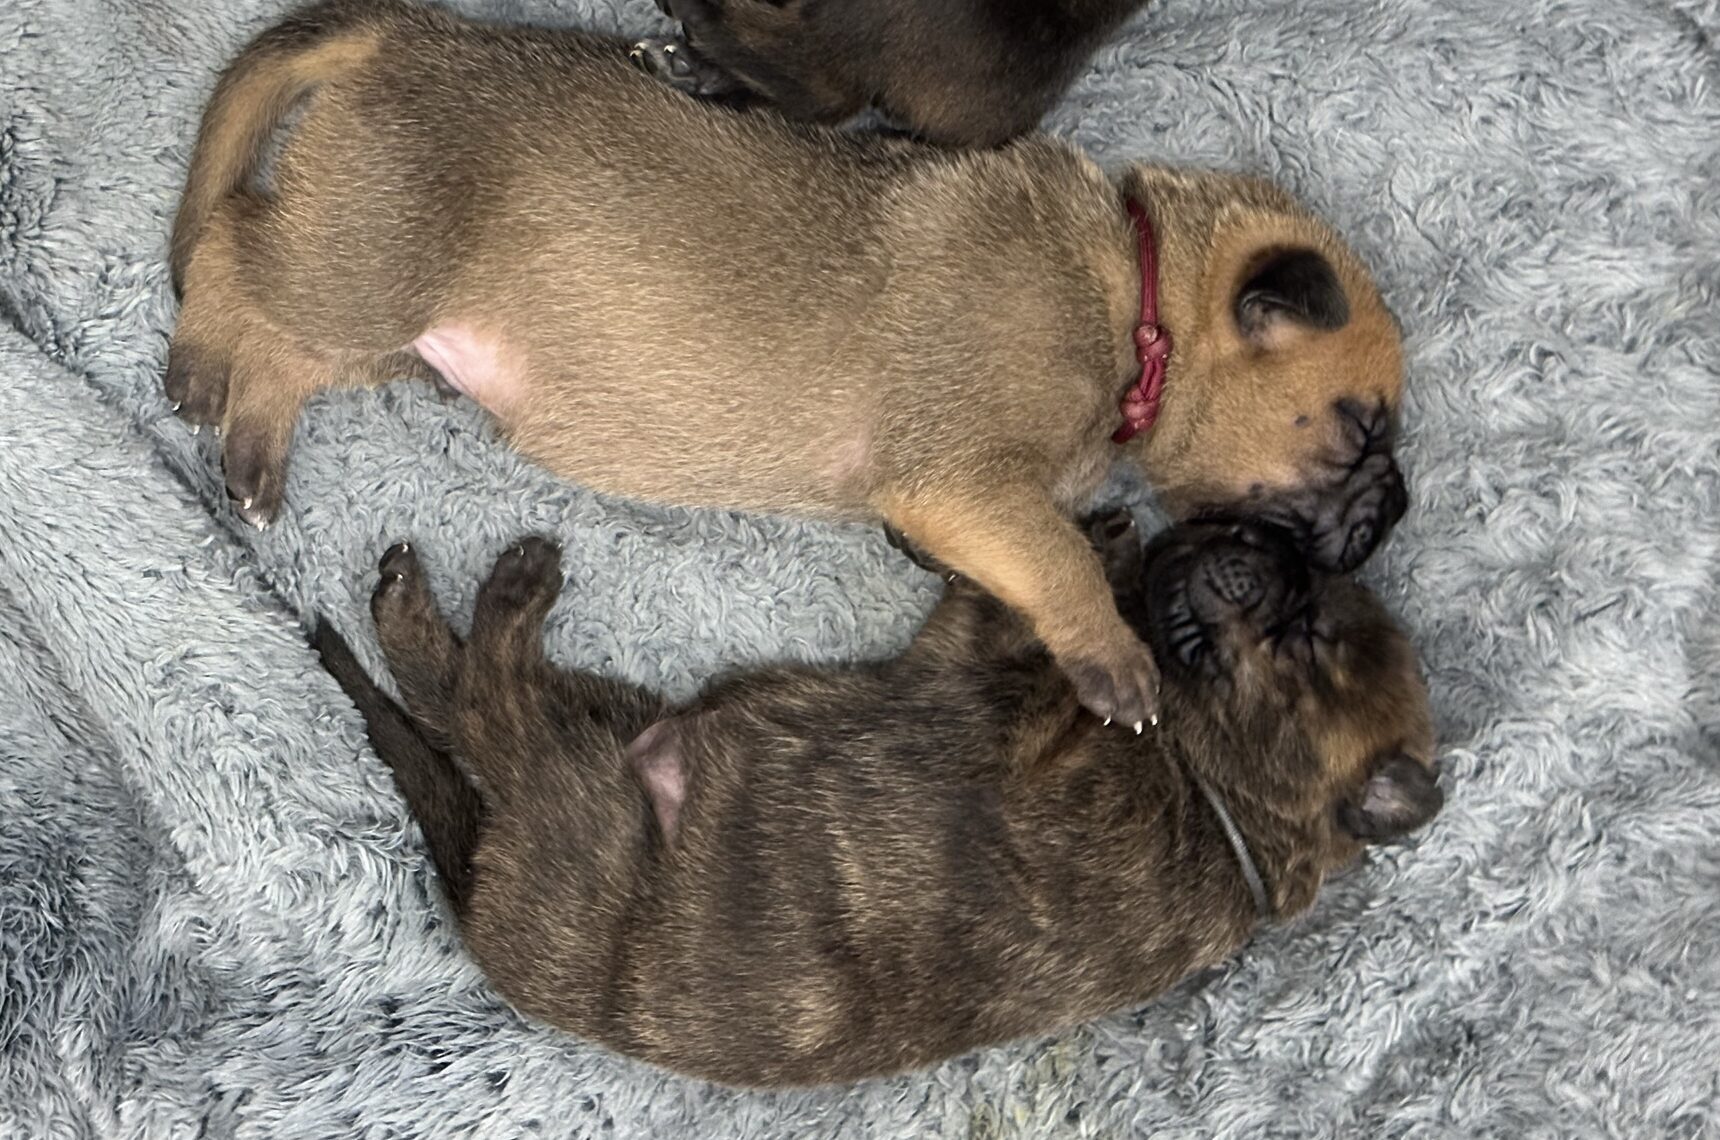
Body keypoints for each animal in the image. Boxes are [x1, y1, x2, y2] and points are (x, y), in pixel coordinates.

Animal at [313, 515, 1437, 1086]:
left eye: (1309, 642)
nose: (1245, 539)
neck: (1227, 800)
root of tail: (476, 899)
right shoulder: (963, 663)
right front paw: (1103, 535)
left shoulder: (1015, 712)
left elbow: (1045, 630)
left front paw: (1097, 569)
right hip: (600, 720)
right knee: (452, 697)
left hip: (582, 801)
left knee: (481, 699)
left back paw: (496, 592)